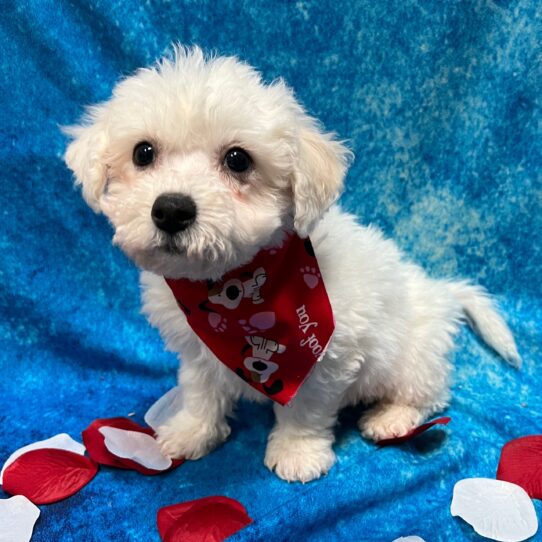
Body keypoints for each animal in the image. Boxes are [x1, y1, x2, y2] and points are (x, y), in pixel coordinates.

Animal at [63, 47, 524, 484]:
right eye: (143, 152)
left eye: (238, 159)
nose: (171, 209)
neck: (230, 291)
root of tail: (441, 293)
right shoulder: (197, 346)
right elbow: (201, 389)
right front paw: (193, 431)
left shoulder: (324, 355)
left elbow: (304, 408)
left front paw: (297, 453)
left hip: (414, 356)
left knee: (429, 394)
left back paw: (392, 417)